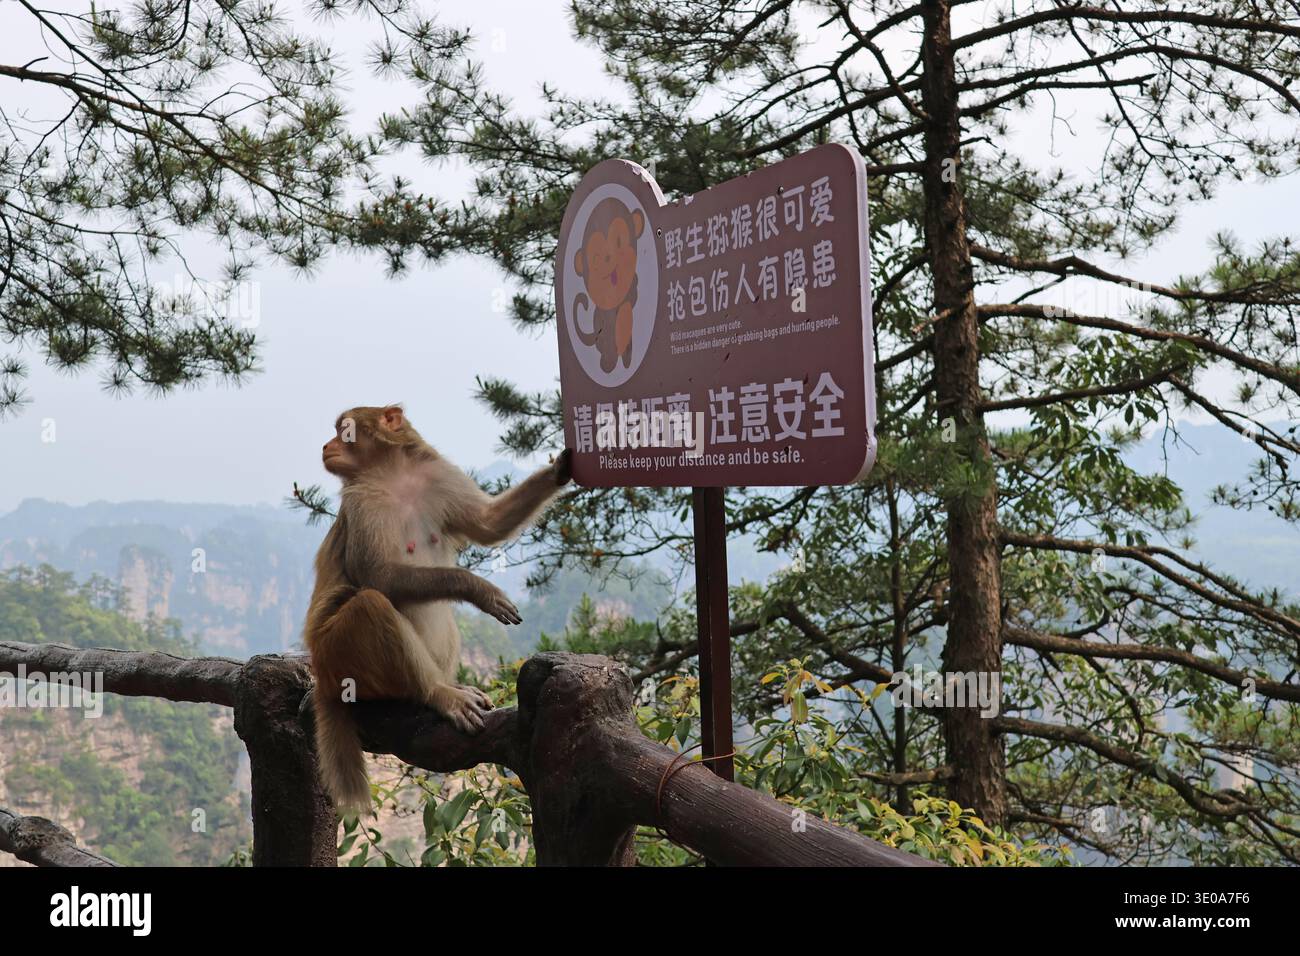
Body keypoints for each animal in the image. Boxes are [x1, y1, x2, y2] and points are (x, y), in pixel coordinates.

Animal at [303, 405, 572, 814]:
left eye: (343, 430)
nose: (325, 445)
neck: (393, 473)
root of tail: (323, 675)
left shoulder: (438, 476)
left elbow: (489, 524)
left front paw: (560, 468)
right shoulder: (361, 500)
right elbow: (377, 576)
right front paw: (478, 588)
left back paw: (447, 683)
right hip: (336, 654)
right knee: (369, 605)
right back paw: (436, 692)